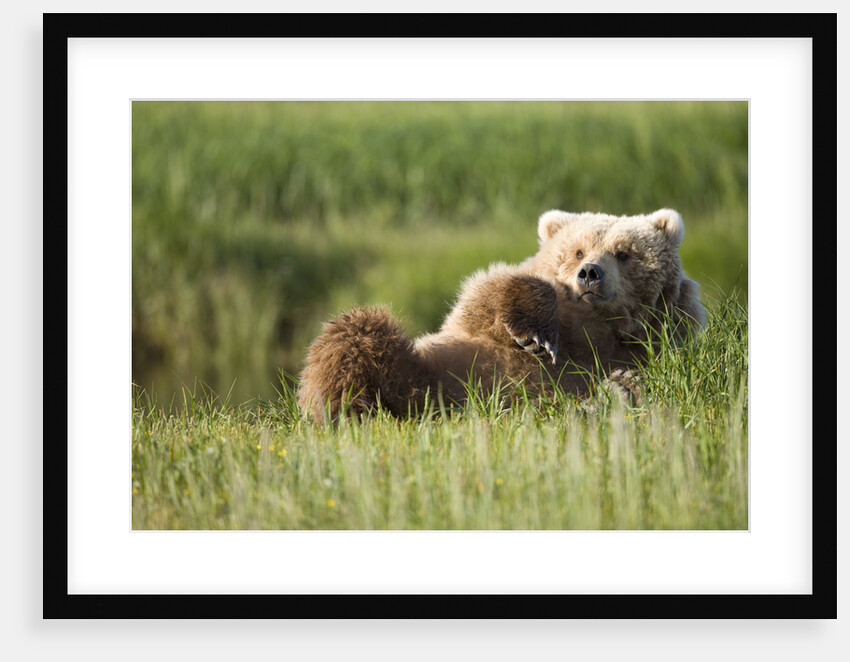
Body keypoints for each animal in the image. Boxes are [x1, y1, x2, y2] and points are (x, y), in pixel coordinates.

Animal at [297, 208, 705, 421]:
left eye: (623, 253)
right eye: (577, 250)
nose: (590, 272)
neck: (596, 328)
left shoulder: (653, 342)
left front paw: (624, 383)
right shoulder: (473, 329)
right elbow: (484, 297)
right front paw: (536, 336)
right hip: (418, 369)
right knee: (357, 333)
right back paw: (348, 410)